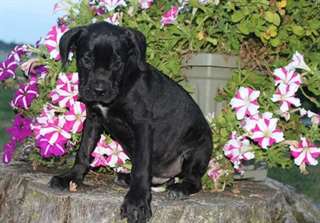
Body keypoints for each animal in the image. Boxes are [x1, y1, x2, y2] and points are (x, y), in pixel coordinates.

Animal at [49, 22, 212, 223]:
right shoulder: (93, 119)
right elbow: (84, 151)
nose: (99, 90)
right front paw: (72, 177)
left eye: (117, 63)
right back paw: (126, 178)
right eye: (86, 59)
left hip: (197, 150)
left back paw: (180, 188)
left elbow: (141, 167)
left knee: (194, 180)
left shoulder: (142, 126)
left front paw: (137, 202)